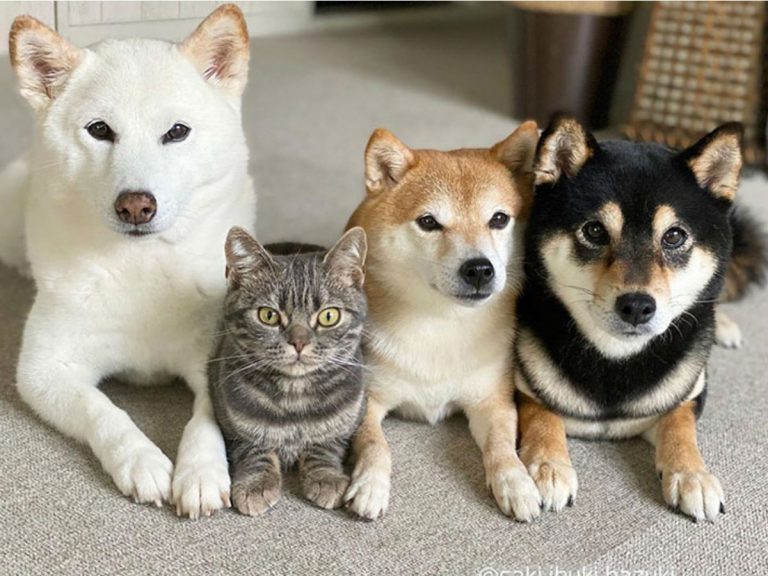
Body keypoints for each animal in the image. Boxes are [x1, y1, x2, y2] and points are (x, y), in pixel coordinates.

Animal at [208, 227, 368, 516]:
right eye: (268, 315)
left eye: (329, 316)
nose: (299, 342)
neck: (296, 397)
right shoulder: (232, 425)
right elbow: (254, 449)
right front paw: (256, 485)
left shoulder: (348, 422)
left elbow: (326, 446)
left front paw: (326, 477)